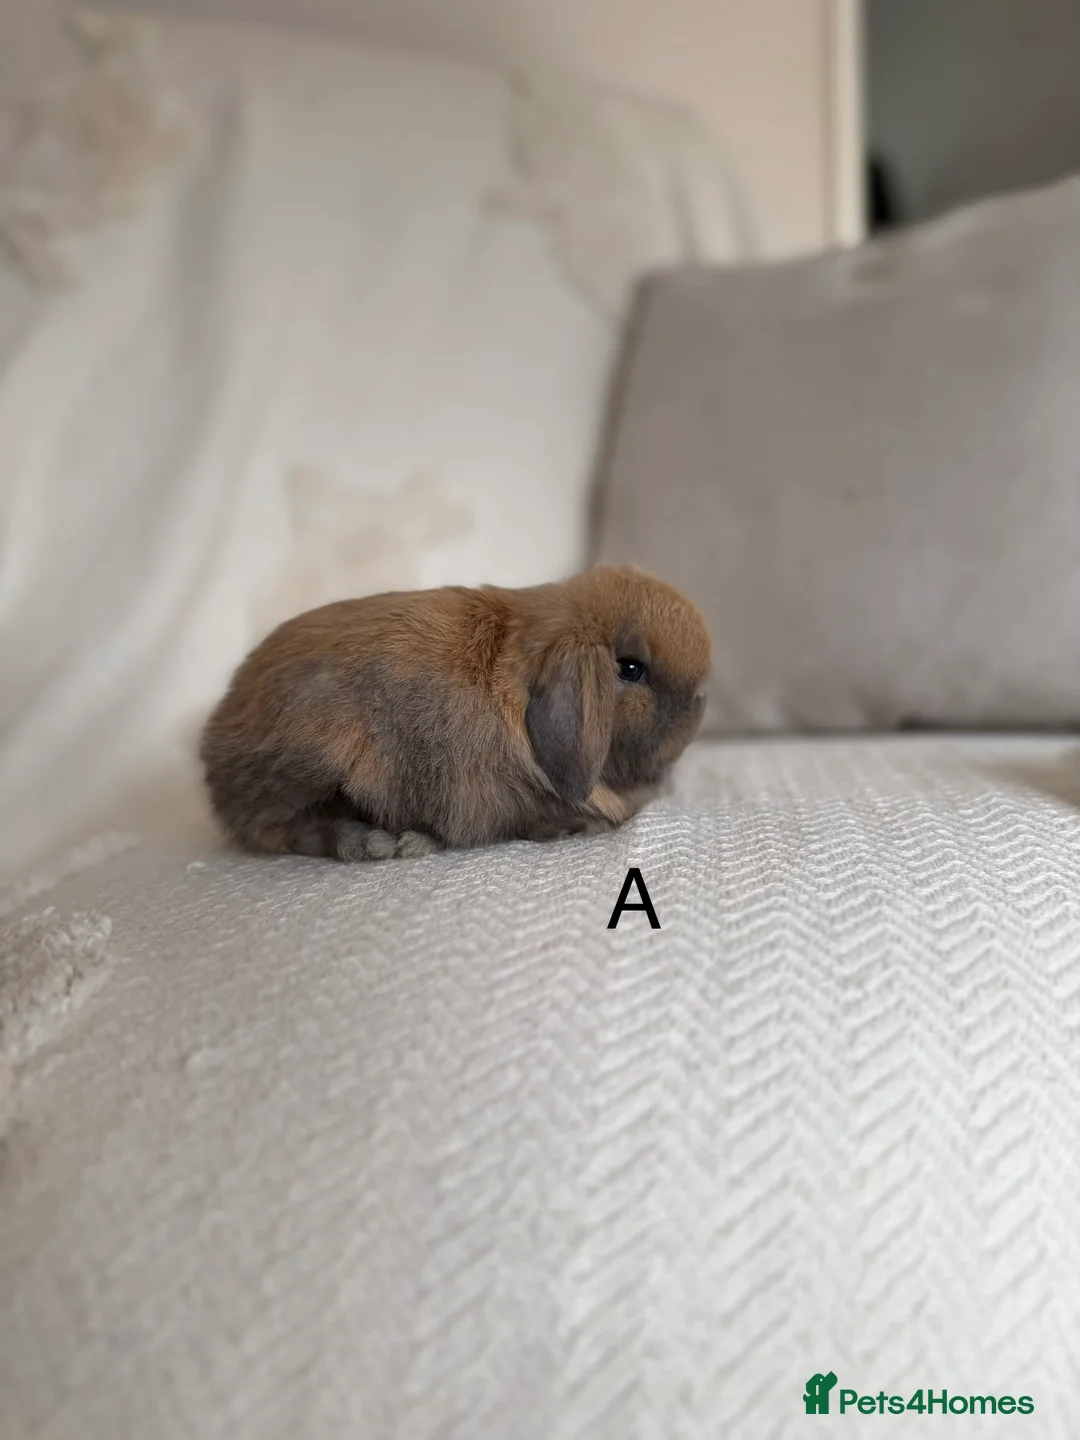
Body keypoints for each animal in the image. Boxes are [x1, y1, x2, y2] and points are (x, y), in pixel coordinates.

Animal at [199, 564, 711, 861]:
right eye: (630, 668)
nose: (701, 698)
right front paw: (576, 826)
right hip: (316, 759)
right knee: (291, 830)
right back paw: (381, 844)